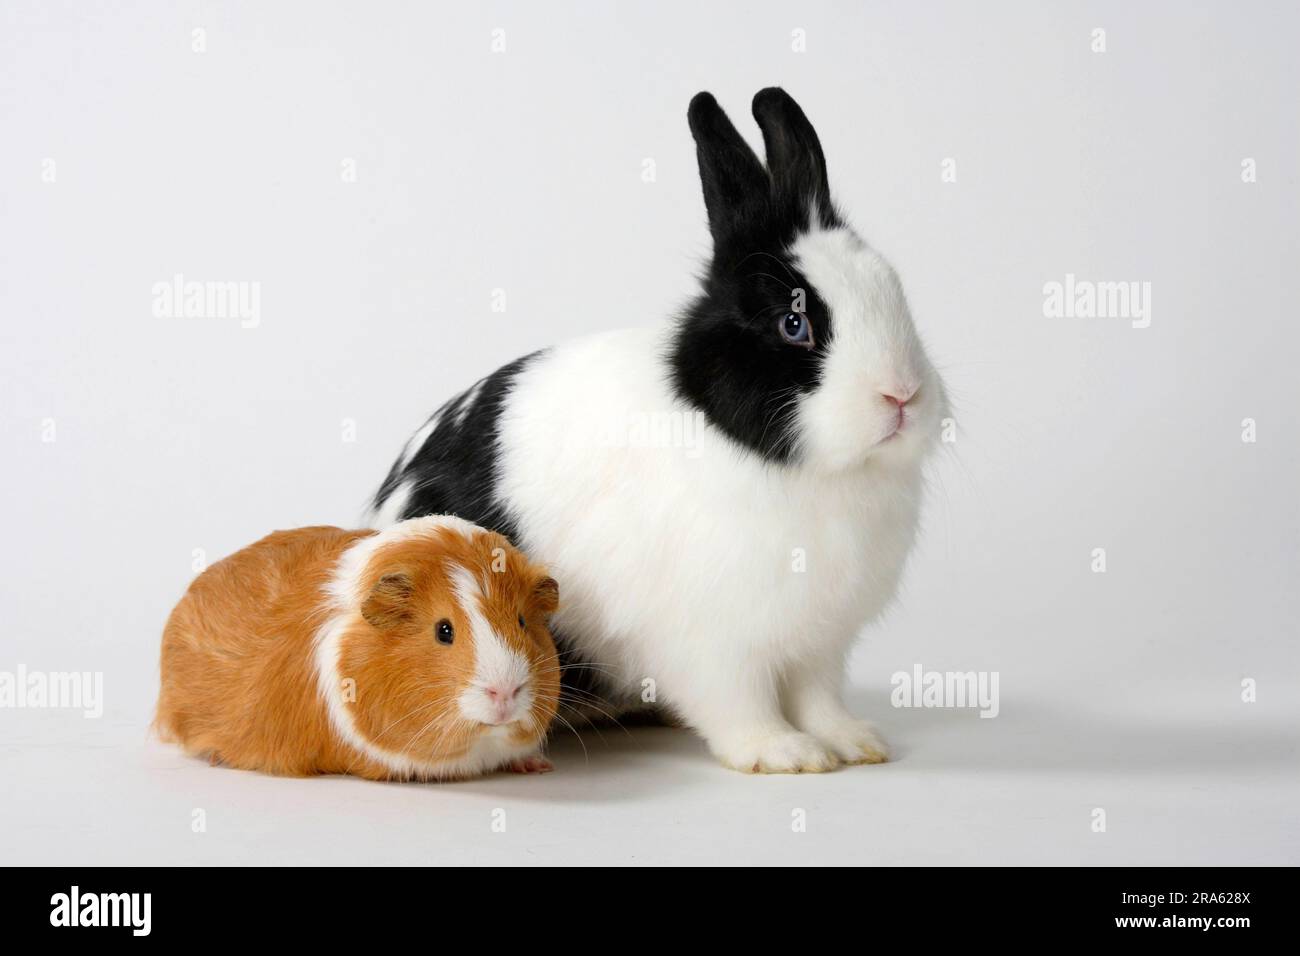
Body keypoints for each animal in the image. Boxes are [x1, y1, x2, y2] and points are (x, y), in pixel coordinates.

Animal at [367, 88, 948, 773]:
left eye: (894, 291)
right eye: (793, 324)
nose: (903, 394)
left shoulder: (820, 644)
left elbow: (818, 696)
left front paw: (853, 744)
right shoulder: (715, 644)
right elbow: (740, 703)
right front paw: (784, 753)